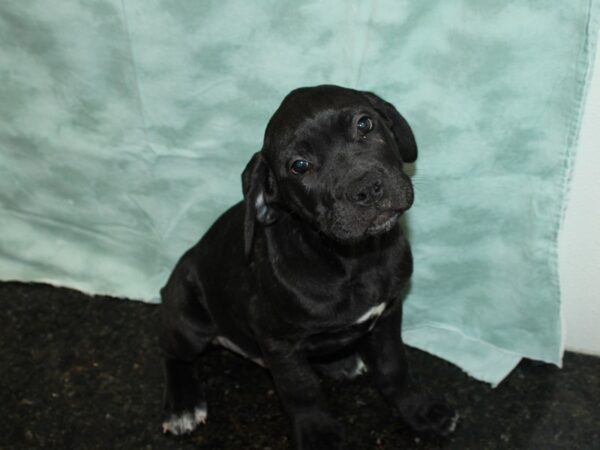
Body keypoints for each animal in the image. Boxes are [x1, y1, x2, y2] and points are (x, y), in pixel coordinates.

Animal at [159, 85, 460, 450]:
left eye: (365, 124)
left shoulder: (388, 312)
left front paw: (419, 409)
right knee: (171, 351)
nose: (367, 188)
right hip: (188, 319)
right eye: (299, 166)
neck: (353, 259)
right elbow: (302, 390)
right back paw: (183, 404)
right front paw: (318, 434)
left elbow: (394, 366)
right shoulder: (277, 341)